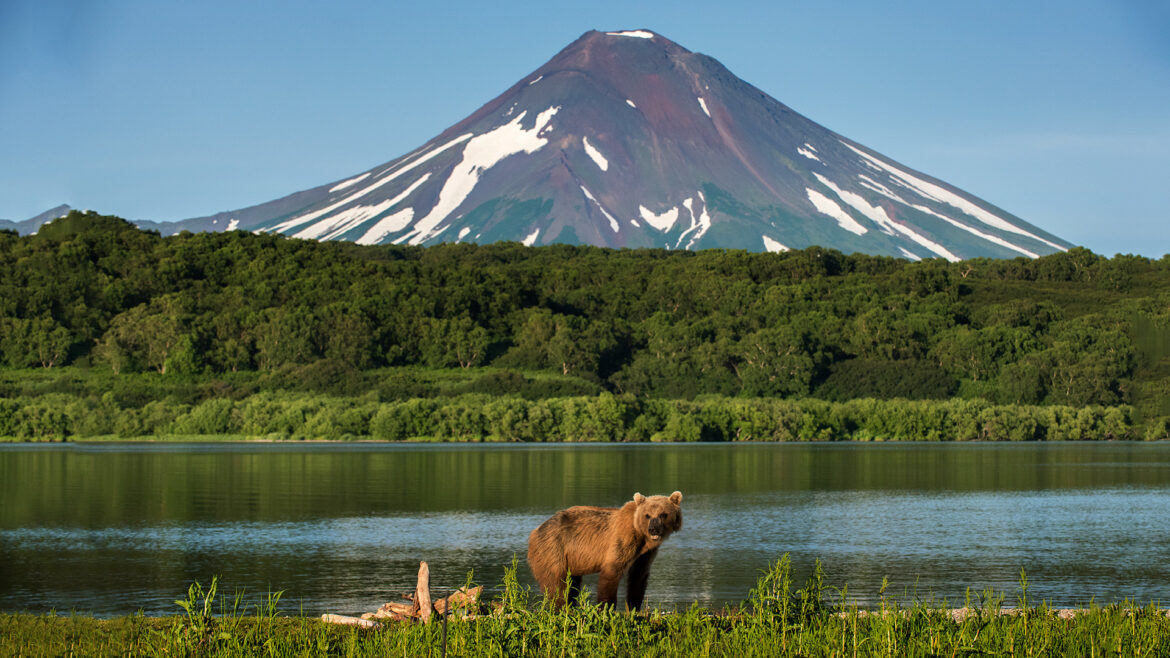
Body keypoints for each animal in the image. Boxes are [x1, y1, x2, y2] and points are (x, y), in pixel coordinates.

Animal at [526, 489, 683, 608]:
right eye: (647, 515)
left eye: (663, 514)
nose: (653, 529)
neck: (641, 537)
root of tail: (535, 531)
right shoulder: (622, 541)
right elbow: (611, 573)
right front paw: (606, 608)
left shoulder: (645, 554)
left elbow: (638, 578)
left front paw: (634, 608)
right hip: (552, 549)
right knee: (557, 585)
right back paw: (561, 608)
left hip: (570, 559)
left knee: (572, 586)